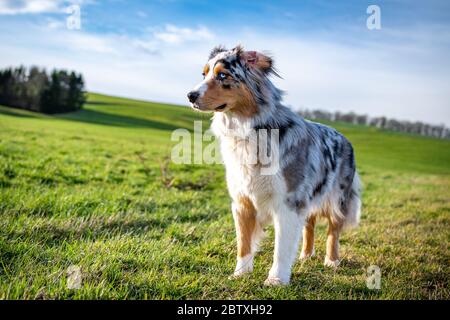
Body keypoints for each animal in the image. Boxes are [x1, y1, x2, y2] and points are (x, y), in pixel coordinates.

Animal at [187, 45, 362, 284]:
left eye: (222, 75)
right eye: (203, 74)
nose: (190, 95)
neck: (248, 131)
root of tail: (343, 136)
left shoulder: (288, 202)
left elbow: (281, 248)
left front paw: (276, 280)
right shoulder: (242, 202)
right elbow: (244, 244)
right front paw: (240, 274)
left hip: (337, 197)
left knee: (333, 231)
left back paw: (332, 261)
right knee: (310, 224)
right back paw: (306, 255)